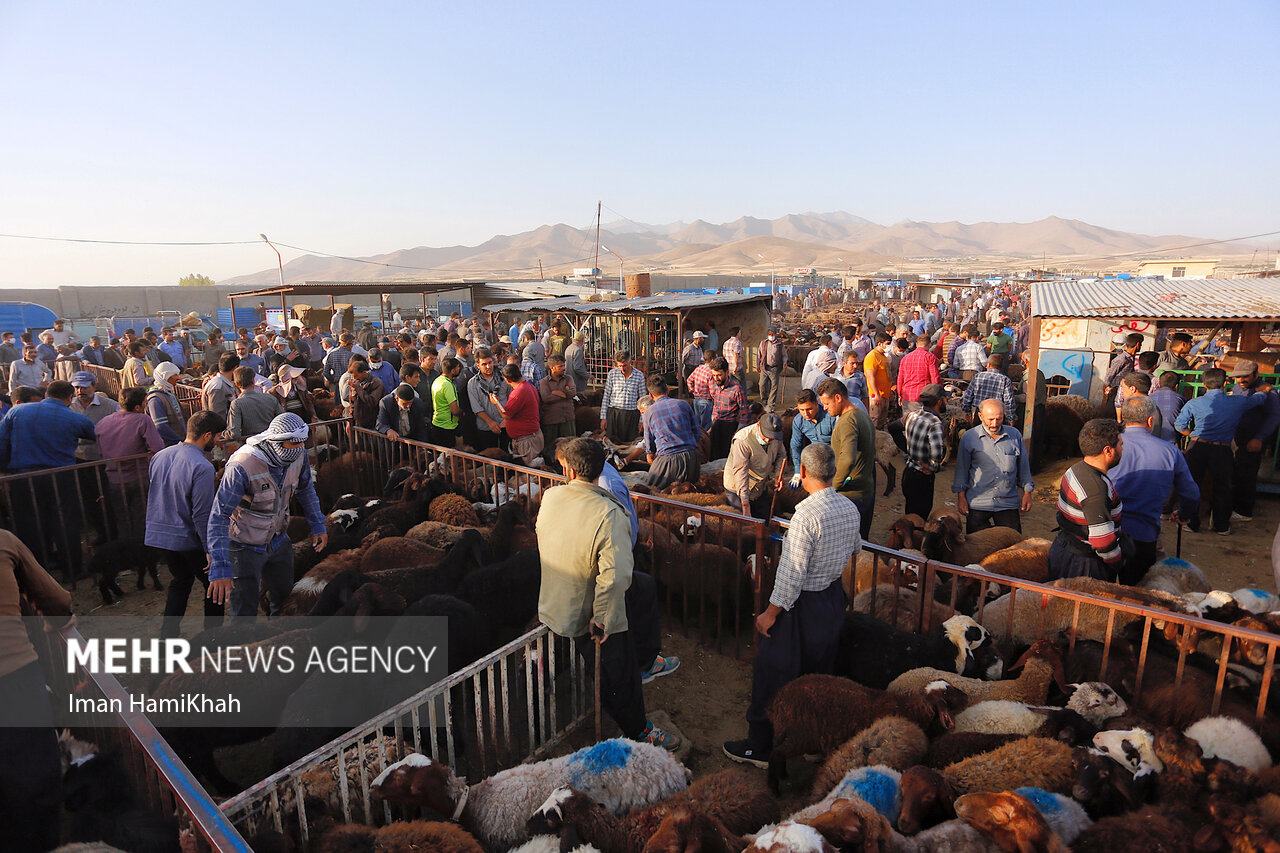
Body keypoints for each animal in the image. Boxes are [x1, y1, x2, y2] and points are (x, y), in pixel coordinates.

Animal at [762, 676, 962, 794]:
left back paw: (782, 774)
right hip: (801, 734)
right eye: (947, 693)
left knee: (777, 751)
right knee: (775, 753)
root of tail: (778, 700)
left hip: (786, 731)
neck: (908, 708)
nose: (966, 696)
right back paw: (773, 787)